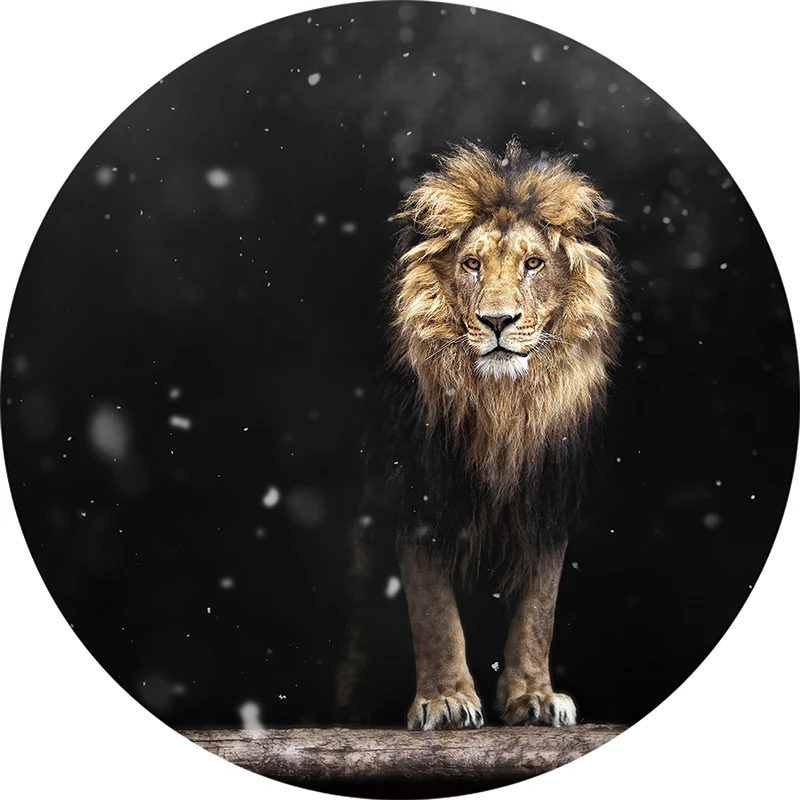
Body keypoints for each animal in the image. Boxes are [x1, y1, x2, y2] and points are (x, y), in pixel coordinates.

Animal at [338, 139, 622, 731]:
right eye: (471, 264)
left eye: (533, 264)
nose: (496, 321)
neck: (502, 407)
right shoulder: (419, 493)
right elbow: (433, 610)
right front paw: (446, 699)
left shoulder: (547, 498)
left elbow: (540, 608)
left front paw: (535, 696)